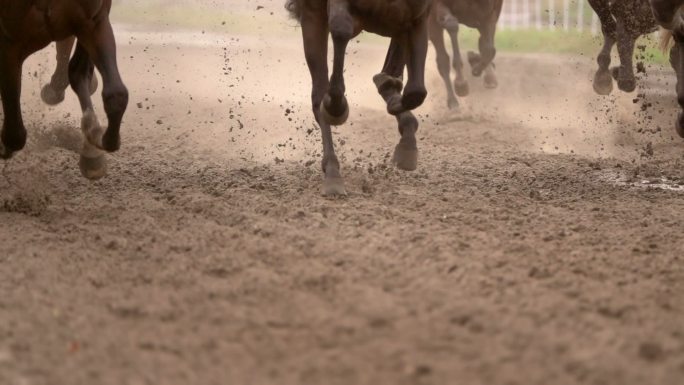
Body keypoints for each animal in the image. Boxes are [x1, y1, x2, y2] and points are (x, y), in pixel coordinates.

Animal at [286, 0, 430, 194]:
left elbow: (415, 91)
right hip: (313, 16)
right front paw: (336, 108)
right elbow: (340, 29)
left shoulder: (416, 17)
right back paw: (332, 172)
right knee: (318, 95)